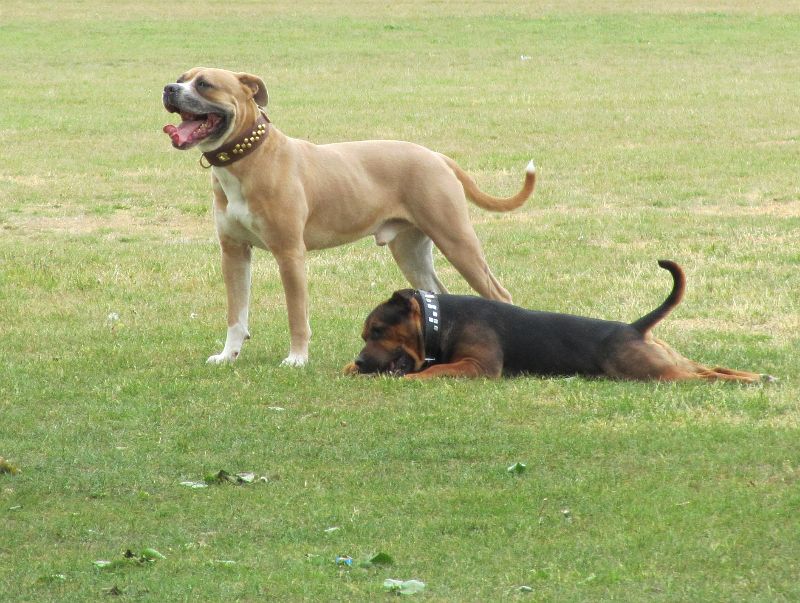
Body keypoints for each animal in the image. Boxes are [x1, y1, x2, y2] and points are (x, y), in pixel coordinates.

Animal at [161, 68, 536, 366]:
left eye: (205, 84)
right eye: (182, 77)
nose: (168, 88)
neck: (249, 157)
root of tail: (437, 156)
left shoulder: (289, 255)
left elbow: (296, 314)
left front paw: (297, 359)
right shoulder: (234, 253)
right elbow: (236, 314)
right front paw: (228, 355)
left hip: (457, 240)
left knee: (499, 294)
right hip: (411, 252)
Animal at [346, 260, 776, 382]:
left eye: (378, 330)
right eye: (365, 335)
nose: (364, 361)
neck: (439, 321)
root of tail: (635, 327)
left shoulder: (478, 366)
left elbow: (431, 371)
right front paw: (351, 366)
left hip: (657, 373)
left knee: (708, 377)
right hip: (668, 361)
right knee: (713, 367)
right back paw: (757, 377)